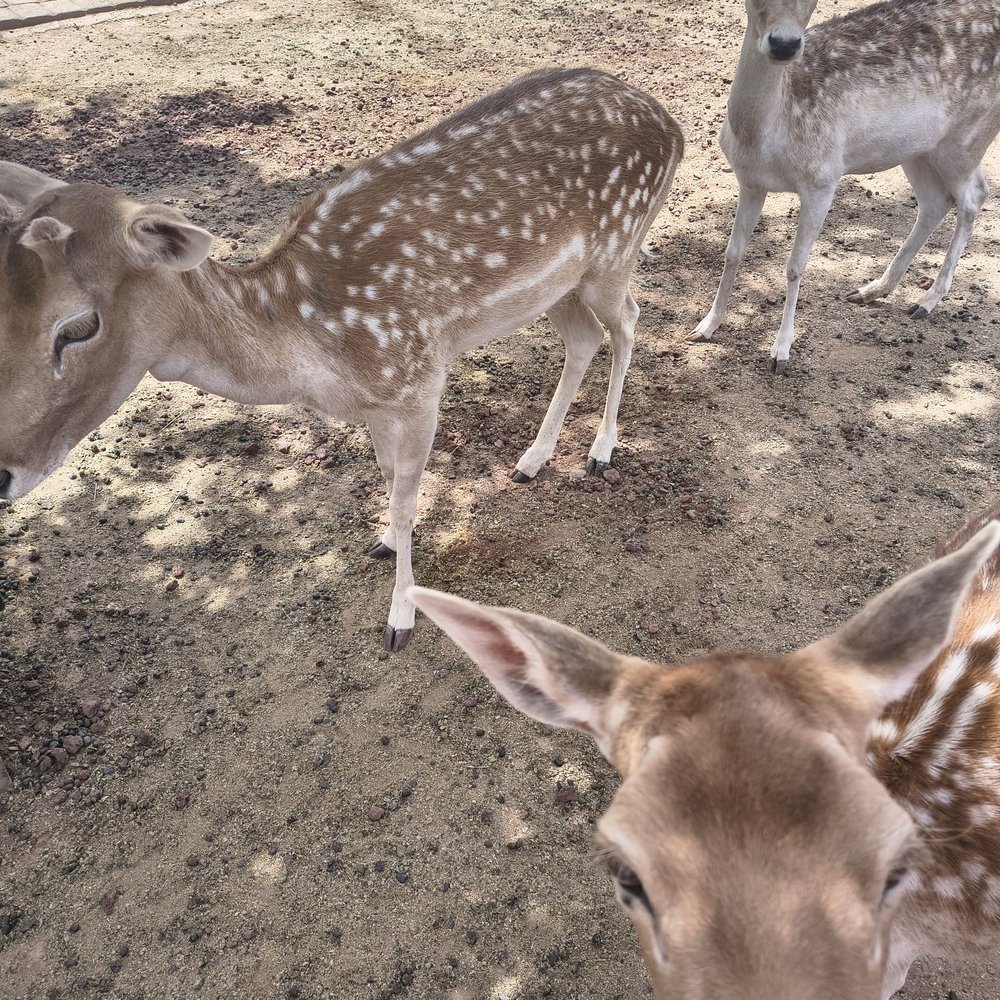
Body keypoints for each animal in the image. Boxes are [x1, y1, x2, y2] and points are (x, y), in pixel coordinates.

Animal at [0, 67, 683, 652]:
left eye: (78, 325)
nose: (4, 473)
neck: (312, 353)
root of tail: (671, 125)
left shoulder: (417, 378)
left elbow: (407, 498)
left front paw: (401, 618)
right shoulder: (378, 402)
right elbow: (389, 480)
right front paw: (382, 543)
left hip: (616, 250)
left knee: (629, 322)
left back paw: (600, 451)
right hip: (557, 287)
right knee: (584, 339)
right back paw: (532, 460)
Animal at [689, 0, 1000, 374]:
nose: (785, 45)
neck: (761, 137)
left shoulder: (823, 179)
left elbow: (795, 266)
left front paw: (780, 352)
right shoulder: (750, 181)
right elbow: (733, 252)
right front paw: (706, 325)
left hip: (967, 137)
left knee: (974, 195)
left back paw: (926, 301)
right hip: (916, 148)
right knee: (935, 202)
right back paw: (872, 290)